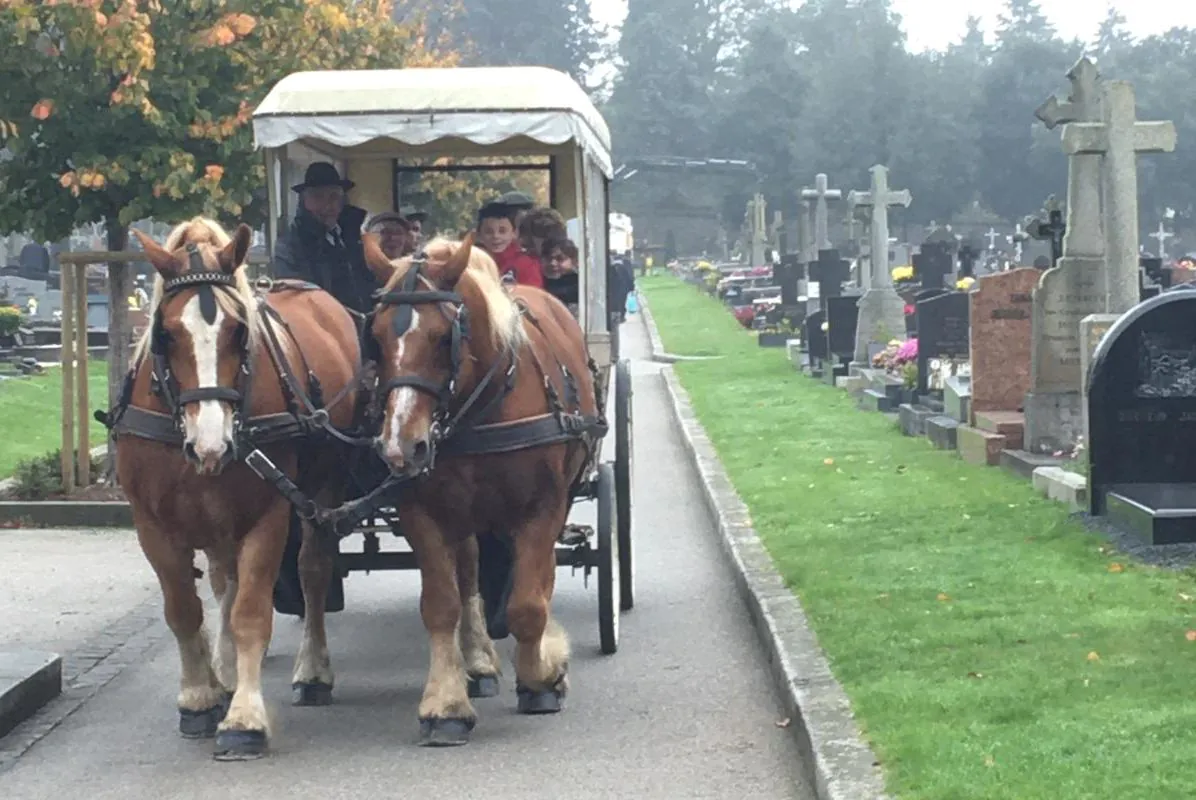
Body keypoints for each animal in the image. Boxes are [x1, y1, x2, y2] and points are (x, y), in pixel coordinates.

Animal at [116, 215, 358, 760]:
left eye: (239, 331)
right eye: (164, 333)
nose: (211, 443)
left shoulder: (266, 514)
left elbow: (250, 611)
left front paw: (244, 718)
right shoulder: (152, 524)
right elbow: (185, 610)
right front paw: (200, 696)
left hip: (322, 488)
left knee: (312, 571)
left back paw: (312, 670)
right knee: (222, 580)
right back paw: (223, 674)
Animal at [361, 230, 607, 741]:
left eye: (442, 337)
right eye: (375, 336)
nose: (401, 446)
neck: (483, 405)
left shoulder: (544, 507)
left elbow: (528, 603)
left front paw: (541, 677)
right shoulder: (423, 511)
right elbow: (441, 604)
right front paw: (445, 703)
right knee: (469, 572)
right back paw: (477, 660)